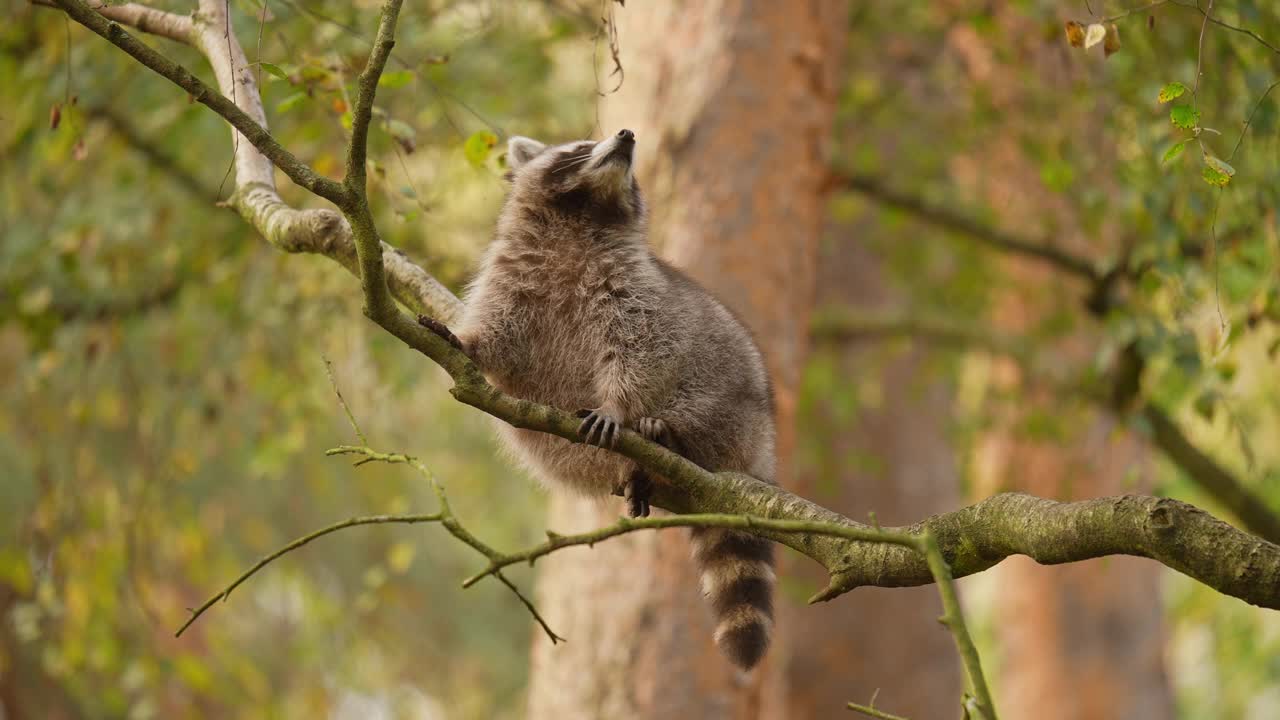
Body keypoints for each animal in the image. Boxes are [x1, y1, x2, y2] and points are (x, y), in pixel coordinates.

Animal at [424, 127, 773, 666]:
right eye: (579, 147)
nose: (627, 135)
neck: (584, 215)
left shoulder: (633, 290)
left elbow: (643, 349)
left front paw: (618, 406)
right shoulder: (512, 277)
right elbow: (501, 341)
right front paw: (468, 343)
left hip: (736, 402)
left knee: (702, 403)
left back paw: (667, 435)